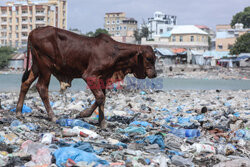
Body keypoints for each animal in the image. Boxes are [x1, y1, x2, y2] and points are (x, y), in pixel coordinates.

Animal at [16, 26, 156, 129]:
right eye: (149, 58)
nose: (154, 74)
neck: (115, 53)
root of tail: (33, 32)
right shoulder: (90, 75)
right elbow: (100, 97)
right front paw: (83, 114)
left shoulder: (103, 78)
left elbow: (103, 99)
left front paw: (102, 123)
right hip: (45, 67)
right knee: (41, 87)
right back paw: (52, 116)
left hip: (36, 65)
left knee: (26, 83)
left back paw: (18, 112)